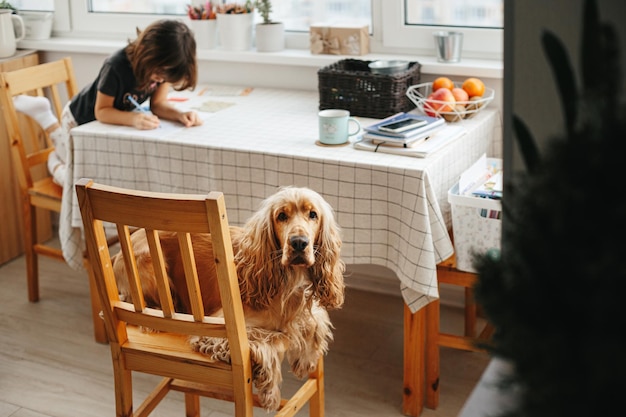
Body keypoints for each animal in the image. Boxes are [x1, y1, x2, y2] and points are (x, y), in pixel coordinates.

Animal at [112, 186, 346, 410]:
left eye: (313, 214)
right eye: (281, 216)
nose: (298, 243)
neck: (288, 281)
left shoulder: (309, 309)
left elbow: (316, 323)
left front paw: (305, 361)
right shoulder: (222, 329)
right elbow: (269, 339)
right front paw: (270, 392)